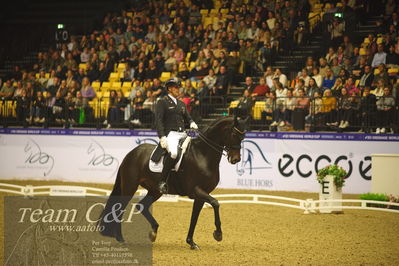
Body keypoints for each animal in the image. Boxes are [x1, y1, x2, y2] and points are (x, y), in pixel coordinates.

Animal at [98, 116, 248, 249]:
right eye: (234, 134)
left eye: (243, 136)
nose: (235, 159)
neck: (203, 155)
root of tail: (131, 153)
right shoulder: (195, 190)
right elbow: (216, 203)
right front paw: (218, 234)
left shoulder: (201, 195)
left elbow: (195, 217)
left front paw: (191, 242)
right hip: (130, 186)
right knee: (119, 209)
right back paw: (121, 239)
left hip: (155, 190)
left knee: (142, 205)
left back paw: (153, 232)